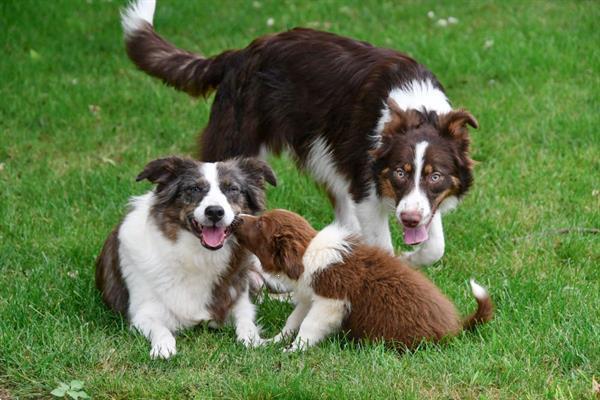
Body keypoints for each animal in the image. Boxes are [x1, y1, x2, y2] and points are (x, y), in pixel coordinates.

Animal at [95, 156, 276, 360]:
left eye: (232, 189)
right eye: (194, 189)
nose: (215, 212)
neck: (199, 256)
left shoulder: (241, 302)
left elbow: (247, 323)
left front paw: (253, 340)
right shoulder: (142, 314)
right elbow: (162, 330)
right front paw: (163, 348)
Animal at [120, 1, 478, 268]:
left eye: (435, 176)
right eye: (400, 172)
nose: (409, 219)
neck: (418, 109)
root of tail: (239, 54)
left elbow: (435, 244)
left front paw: (412, 257)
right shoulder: (366, 187)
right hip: (235, 142)